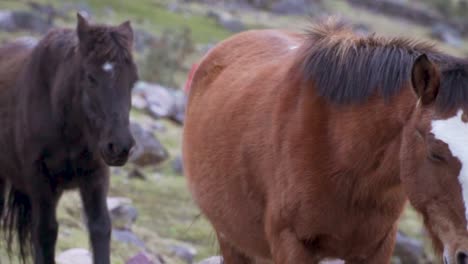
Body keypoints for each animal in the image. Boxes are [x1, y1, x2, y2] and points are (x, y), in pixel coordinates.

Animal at [0, 14, 137, 264]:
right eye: (91, 77)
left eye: (133, 80)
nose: (121, 146)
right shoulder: (39, 179)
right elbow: (45, 232)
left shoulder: (95, 177)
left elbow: (100, 228)